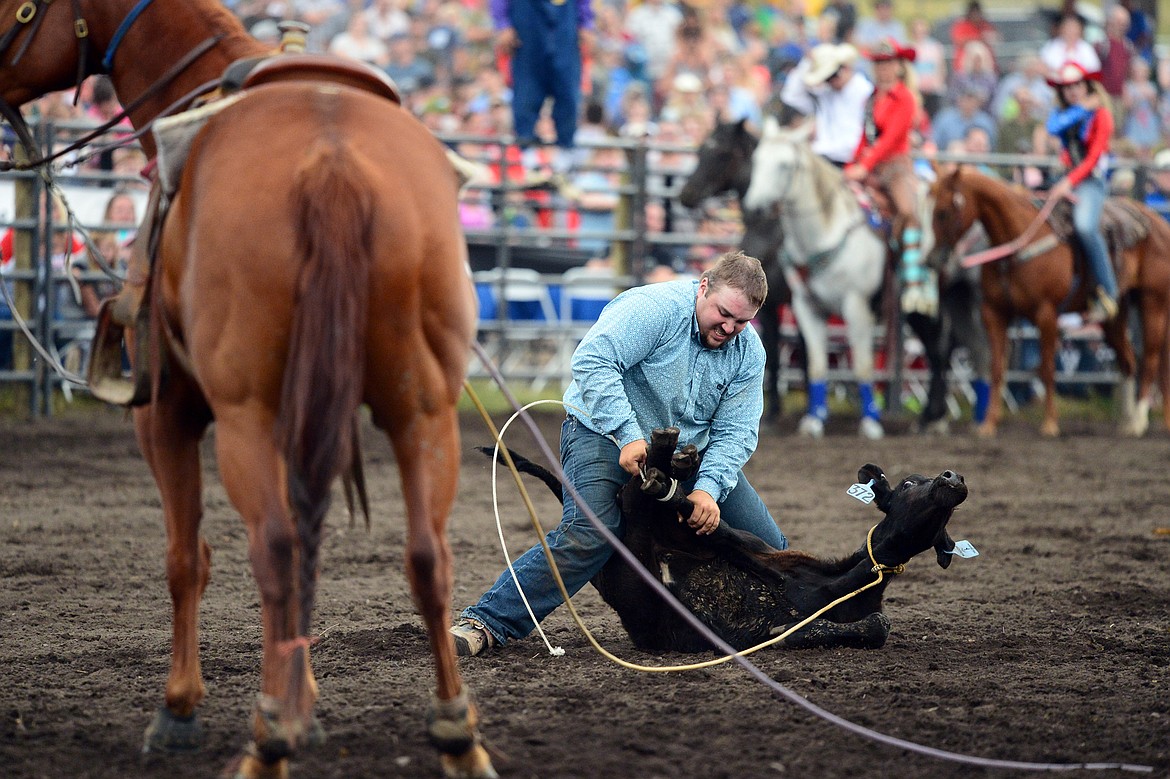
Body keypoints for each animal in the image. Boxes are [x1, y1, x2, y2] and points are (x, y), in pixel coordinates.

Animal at [0, 1, 493, 776]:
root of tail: (331, 160)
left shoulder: (166, 413)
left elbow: (186, 558)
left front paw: (180, 709)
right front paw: (303, 700)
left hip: (243, 416)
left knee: (274, 551)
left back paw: (265, 743)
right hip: (423, 409)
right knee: (424, 556)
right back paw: (457, 736)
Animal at [931, 167, 1170, 437]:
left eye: (943, 211)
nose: (933, 259)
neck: (1017, 241)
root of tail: (1160, 223)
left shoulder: (1046, 314)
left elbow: (1046, 370)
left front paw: (1049, 424)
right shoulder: (994, 314)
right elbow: (997, 369)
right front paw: (988, 425)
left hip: (1153, 302)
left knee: (1149, 360)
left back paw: (1139, 421)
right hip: (1116, 315)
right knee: (1128, 361)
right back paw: (1127, 423)